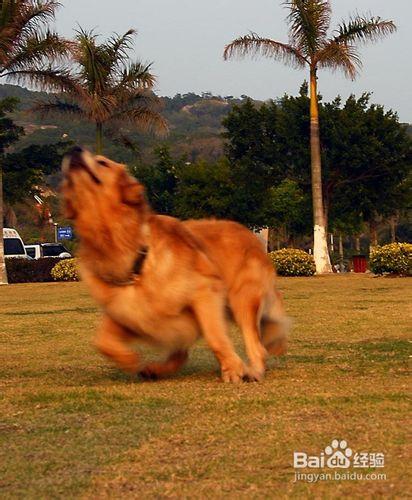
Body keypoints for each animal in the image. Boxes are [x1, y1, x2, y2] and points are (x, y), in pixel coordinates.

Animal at [61, 146, 288, 380]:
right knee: (181, 353)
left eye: (102, 162)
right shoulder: (128, 310)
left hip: (242, 296)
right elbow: (101, 341)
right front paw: (130, 360)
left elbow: (215, 336)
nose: (73, 149)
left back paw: (254, 370)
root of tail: (251, 235)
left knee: (256, 344)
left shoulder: (205, 290)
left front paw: (233, 369)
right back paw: (158, 369)